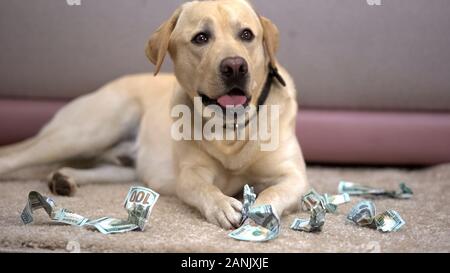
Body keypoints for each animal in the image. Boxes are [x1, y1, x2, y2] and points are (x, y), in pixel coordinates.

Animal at [0, 0, 308, 228]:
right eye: (201, 38)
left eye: (246, 35)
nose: (235, 66)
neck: (231, 131)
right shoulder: (190, 174)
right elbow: (203, 188)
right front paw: (222, 205)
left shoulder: (293, 177)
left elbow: (273, 190)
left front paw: (259, 210)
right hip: (88, 132)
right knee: (14, 156)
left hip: (126, 166)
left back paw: (64, 179)